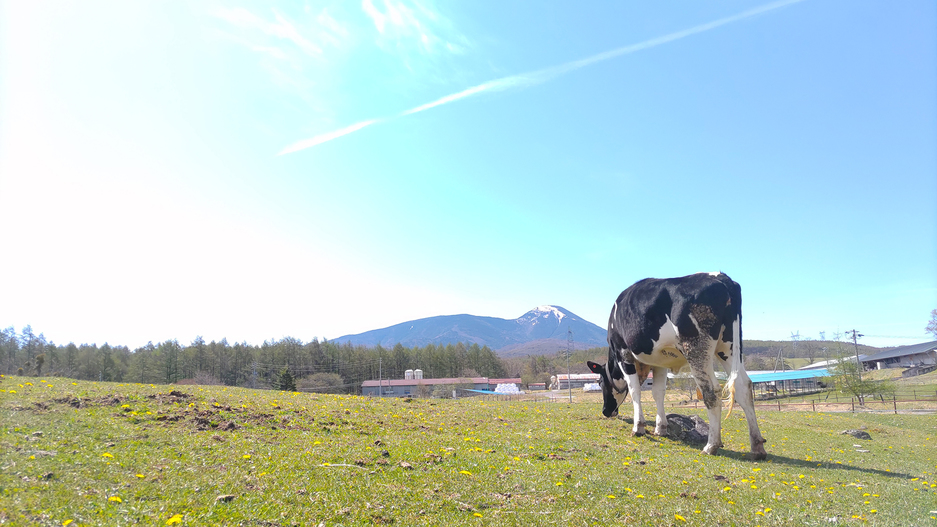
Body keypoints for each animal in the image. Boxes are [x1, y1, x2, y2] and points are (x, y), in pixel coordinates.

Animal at [584, 274, 768, 460]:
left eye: (600, 382)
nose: (606, 411)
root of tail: (720, 277)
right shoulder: (659, 361)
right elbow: (658, 393)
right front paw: (660, 428)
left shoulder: (624, 354)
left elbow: (635, 391)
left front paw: (638, 427)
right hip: (728, 348)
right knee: (743, 387)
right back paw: (757, 446)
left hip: (696, 349)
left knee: (711, 391)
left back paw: (711, 445)